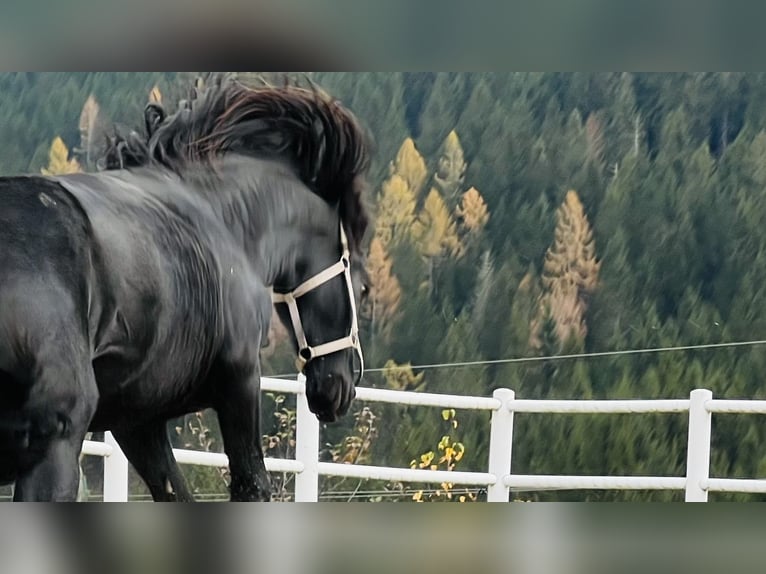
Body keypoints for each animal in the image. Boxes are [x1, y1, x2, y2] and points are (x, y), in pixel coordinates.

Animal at [0, 75, 372, 500]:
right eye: (363, 289)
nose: (340, 389)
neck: (226, 219)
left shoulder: (137, 422)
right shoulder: (240, 381)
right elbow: (252, 484)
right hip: (55, 445)